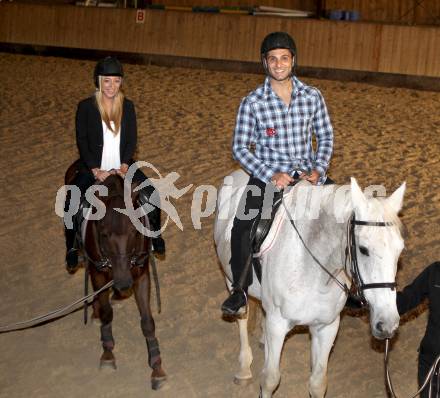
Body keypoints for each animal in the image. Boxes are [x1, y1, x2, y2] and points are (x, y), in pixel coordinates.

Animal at [72, 173, 167, 390]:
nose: (123, 283)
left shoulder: (140, 275)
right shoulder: (98, 274)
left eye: (134, 231)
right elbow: (107, 314)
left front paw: (156, 368)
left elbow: (147, 322)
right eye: (104, 234)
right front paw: (108, 354)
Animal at [213, 169, 406, 396]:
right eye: (364, 249)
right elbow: (270, 379)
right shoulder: (277, 324)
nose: (389, 324)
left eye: (400, 249)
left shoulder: (327, 326)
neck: (311, 268)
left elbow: (318, 382)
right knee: (242, 318)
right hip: (231, 281)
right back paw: (244, 369)